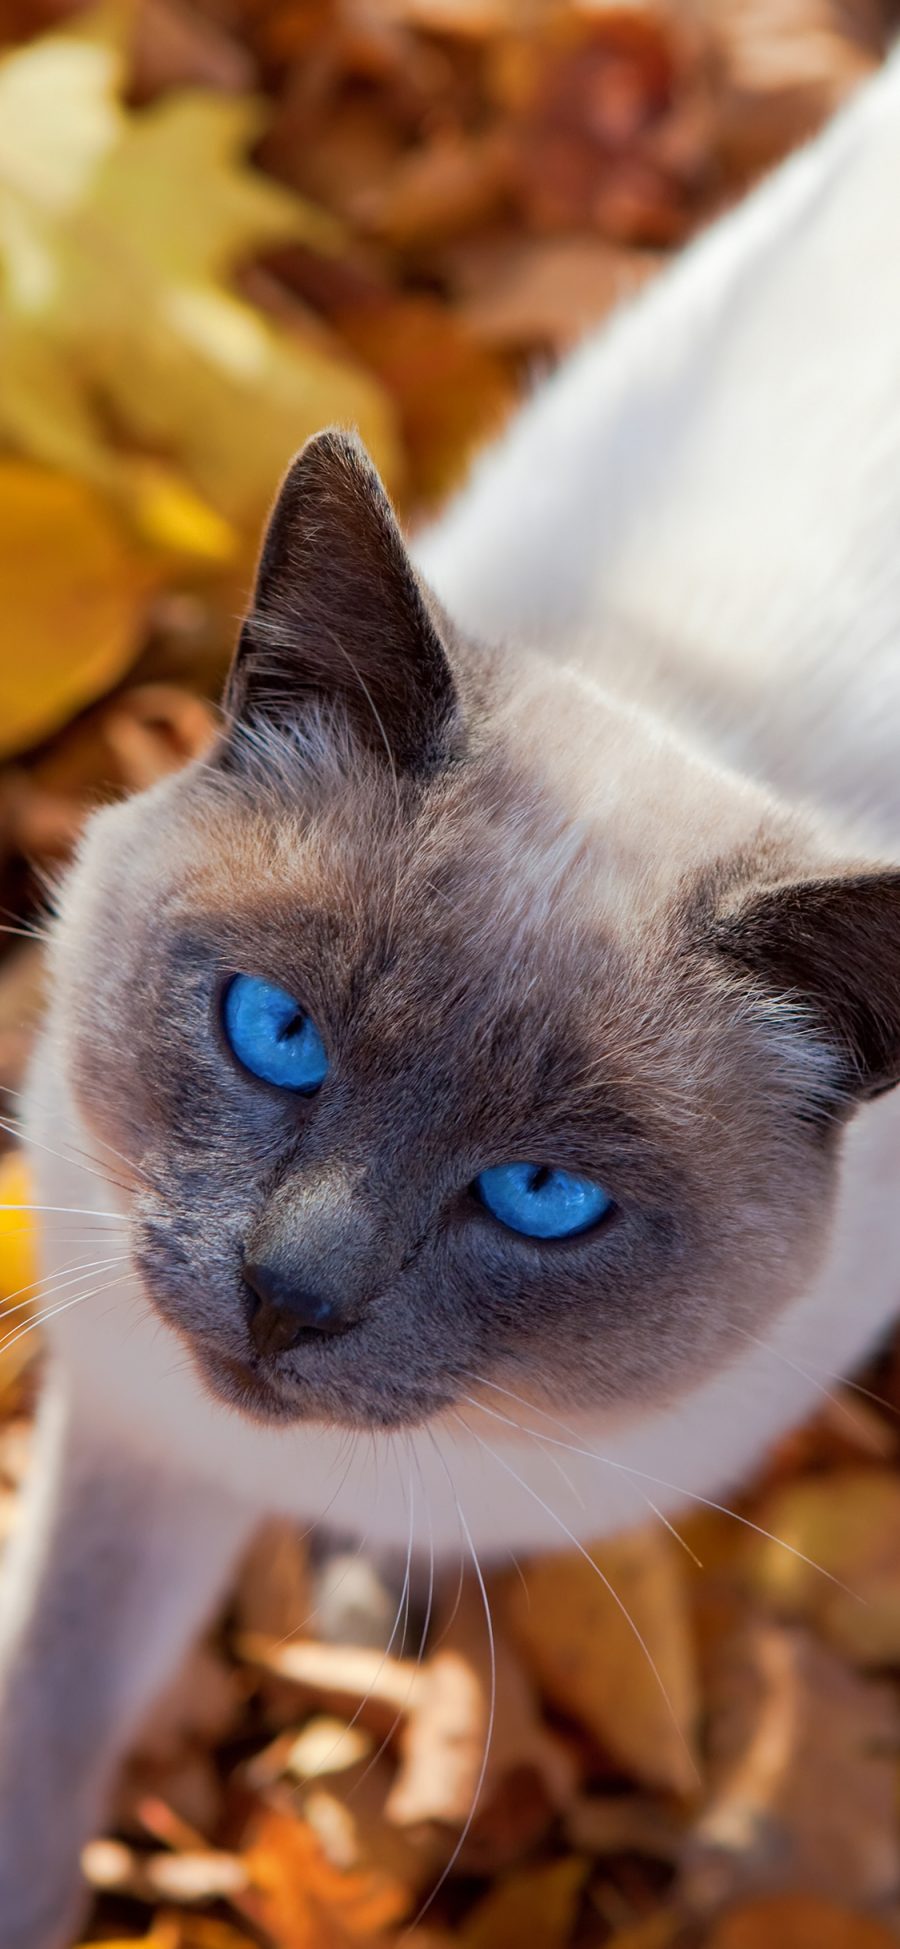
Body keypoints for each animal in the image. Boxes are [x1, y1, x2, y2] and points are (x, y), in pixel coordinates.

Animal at [1, 45, 900, 1949]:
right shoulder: (135, 1427)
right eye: (276, 1033)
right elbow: (43, 1723)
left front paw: (364, 1594)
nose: (286, 1299)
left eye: (544, 1198)